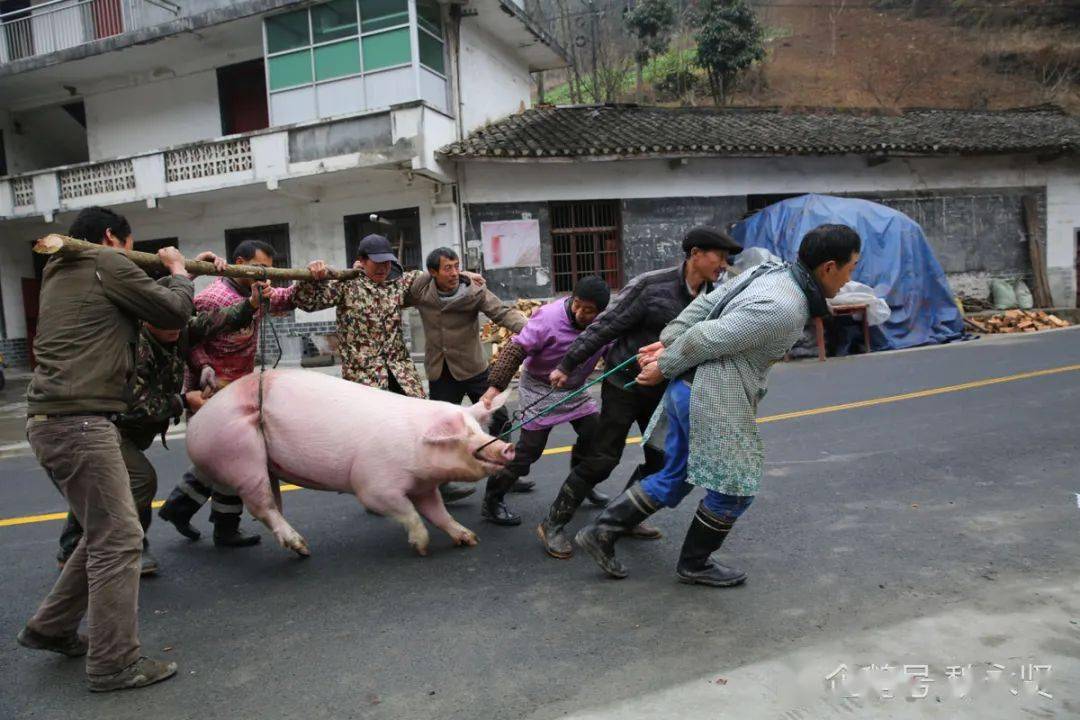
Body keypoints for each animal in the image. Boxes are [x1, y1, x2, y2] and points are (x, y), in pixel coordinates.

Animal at [185, 369, 514, 561]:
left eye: (479, 428)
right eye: (464, 437)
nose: (507, 447)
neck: (415, 446)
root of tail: (196, 423)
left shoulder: (423, 486)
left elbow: (438, 512)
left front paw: (469, 539)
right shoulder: (373, 484)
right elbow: (406, 511)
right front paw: (421, 549)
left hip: (260, 463)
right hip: (240, 457)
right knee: (261, 505)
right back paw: (303, 549)